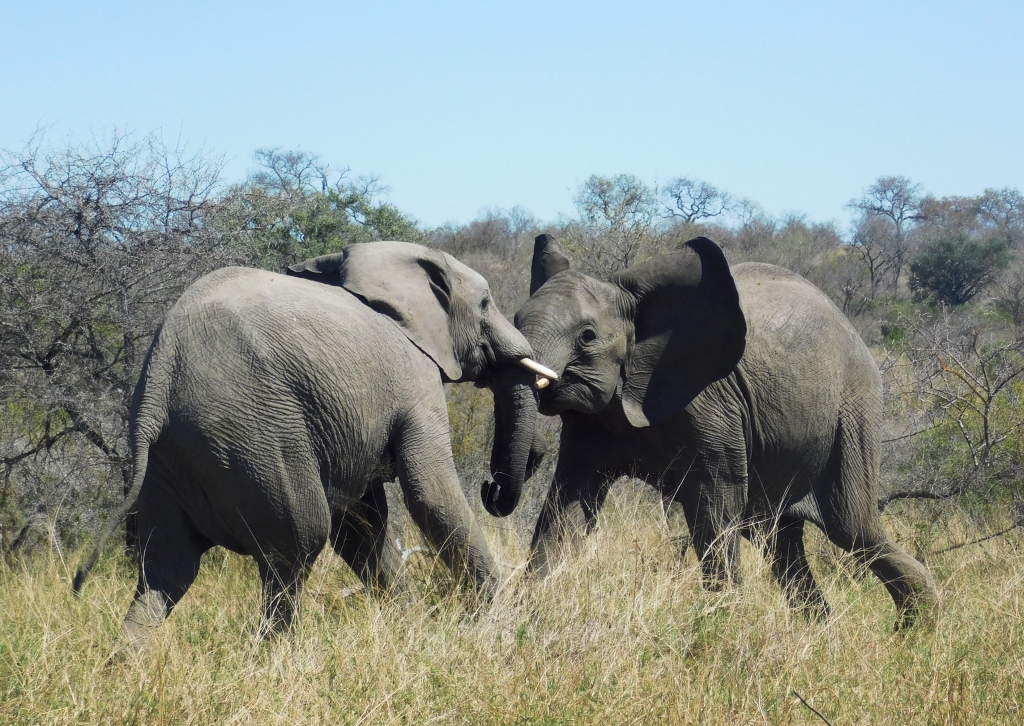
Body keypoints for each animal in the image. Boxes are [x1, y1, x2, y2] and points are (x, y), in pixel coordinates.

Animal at [74, 241, 554, 647]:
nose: (492, 487)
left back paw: (124, 669)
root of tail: (159, 375)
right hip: (255, 438)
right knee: (296, 545)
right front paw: (497, 624)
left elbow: (362, 522)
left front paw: (409, 628)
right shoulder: (414, 377)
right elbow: (429, 494)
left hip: (170, 459)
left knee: (166, 568)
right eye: (486, 303)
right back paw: (275, 658)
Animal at [501, 233, 938, 628]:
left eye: (587, 336)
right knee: (780, 543)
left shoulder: (710, 403)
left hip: (852, 413)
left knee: (851, 528)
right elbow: (567, 505)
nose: (533, 454)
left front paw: (721, 630)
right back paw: (826, 633)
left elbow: (714, 502)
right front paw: (524, 622)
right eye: (514, 322)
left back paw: (916, 631)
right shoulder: (592, 423)